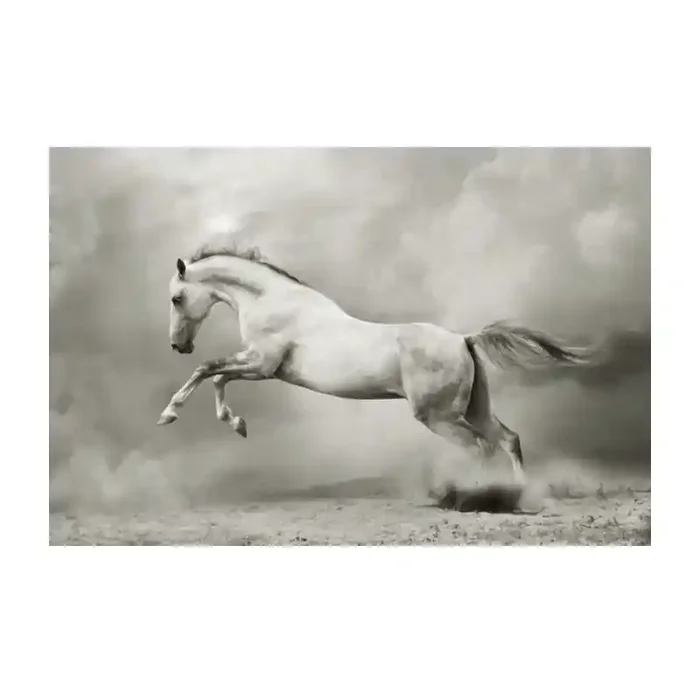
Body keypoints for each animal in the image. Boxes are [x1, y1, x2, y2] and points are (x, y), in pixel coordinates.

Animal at [158, 241, 593, 485]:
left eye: (177, 298)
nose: (178, 346)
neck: (272, 301)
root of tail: (463, 340)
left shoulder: (262, 365)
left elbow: (208, 370)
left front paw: (169, 415)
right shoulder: (259, 367)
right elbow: (216, 378)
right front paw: (238, 424)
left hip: (440, 417)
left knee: (480, 447)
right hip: (474, 407)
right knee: (507, 439)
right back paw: (519, 495)